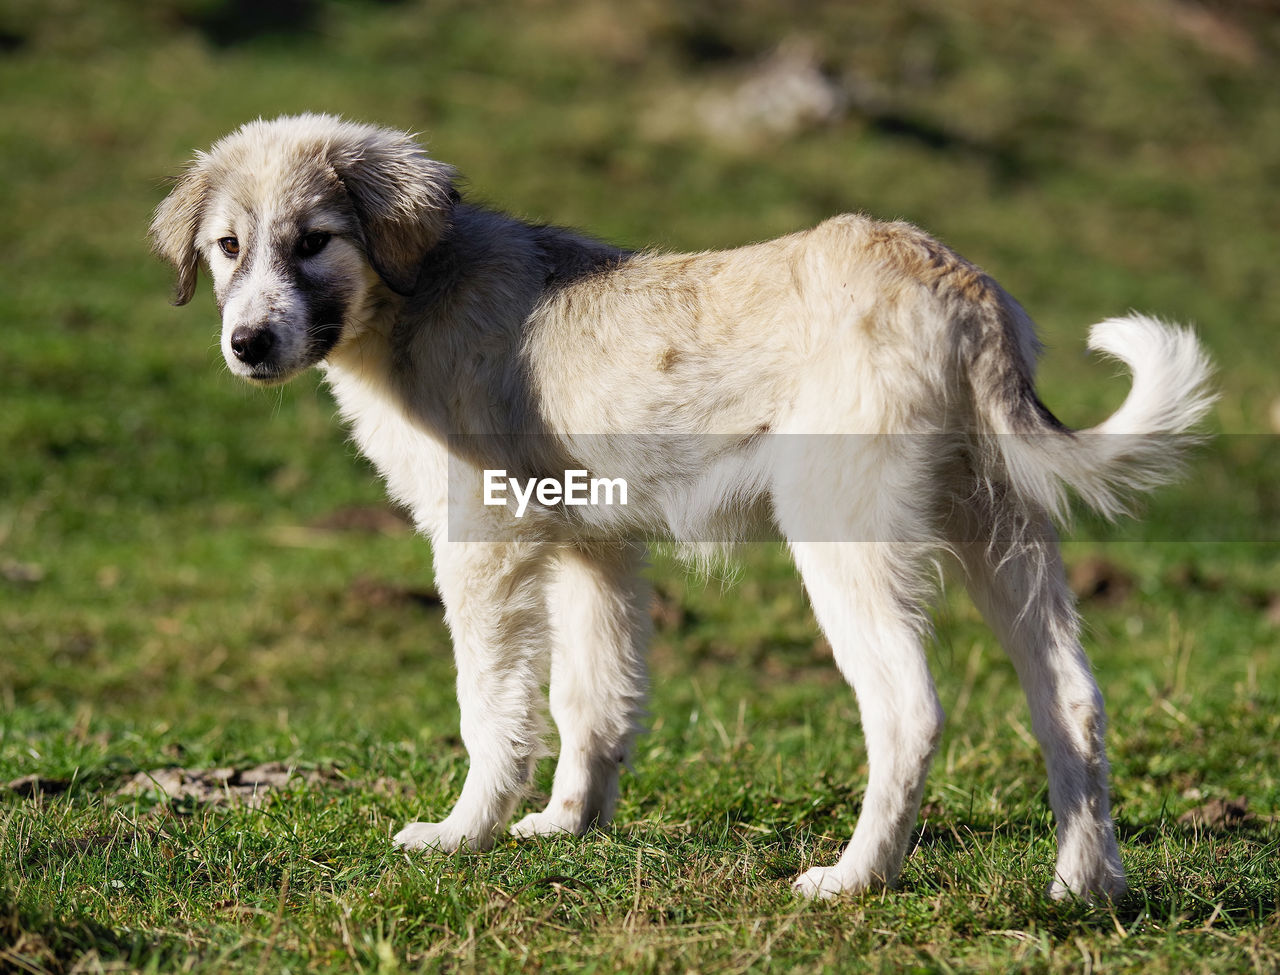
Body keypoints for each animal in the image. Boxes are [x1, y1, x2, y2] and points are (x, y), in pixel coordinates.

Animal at [149, 111, 1208, 895]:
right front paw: (566, 824)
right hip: (1003, 531)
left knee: (908, 709)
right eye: (228, 248)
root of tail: (948, 279)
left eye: (314, 242)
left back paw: (854, 878)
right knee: (1072, 700)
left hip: (845, 535)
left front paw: (463, 833)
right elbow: (592, 700)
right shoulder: (596, 548)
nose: (247, 344)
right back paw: (1086, 886)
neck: (417, 294)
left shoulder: (486, 543)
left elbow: (492, 708)